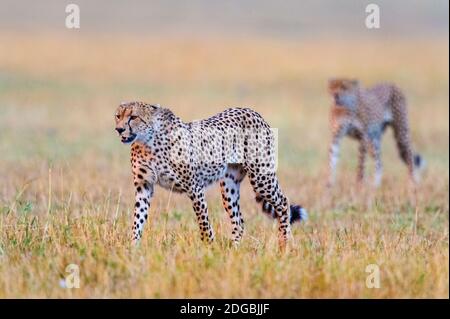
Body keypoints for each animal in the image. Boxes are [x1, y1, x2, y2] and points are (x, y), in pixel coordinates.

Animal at [114, 102, 308, 248]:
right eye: (118, 116)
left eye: (133, 117)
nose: (119, 129)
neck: (146, 142)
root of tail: (251, 111)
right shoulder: (144, 187)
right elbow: (138, 219)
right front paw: (133, 248)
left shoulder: (194, 187)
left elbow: (203, 222)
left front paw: (209, 248)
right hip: (229, 185)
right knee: (239, 221)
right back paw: (234, 251)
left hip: (261, 177)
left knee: (283, 202)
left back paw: (284, 243)